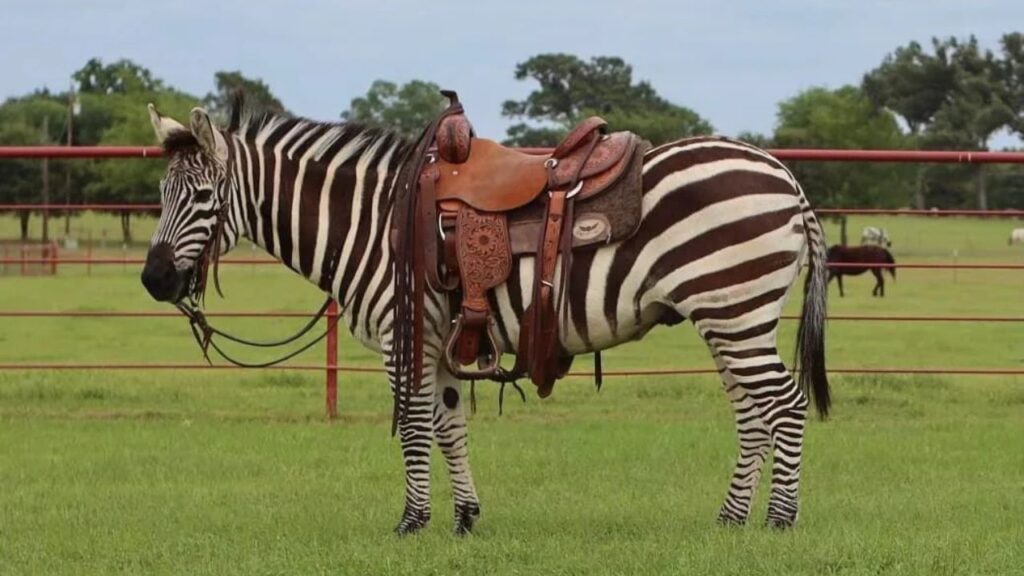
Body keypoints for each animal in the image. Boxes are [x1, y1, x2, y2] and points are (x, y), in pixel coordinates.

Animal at [141, 101, 830, 535]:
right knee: (752, 412)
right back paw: (731, 519)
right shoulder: (441, 340)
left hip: (733, 310)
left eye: (201, 196)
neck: (374, 223)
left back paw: (779, 521)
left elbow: (416, 426)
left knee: (786, 404)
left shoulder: (406, 334)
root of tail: (785, 175)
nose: (152, 281)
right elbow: (450, 427)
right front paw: (465, 518)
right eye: (159, 196)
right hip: (727, 316)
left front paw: (412, 522)